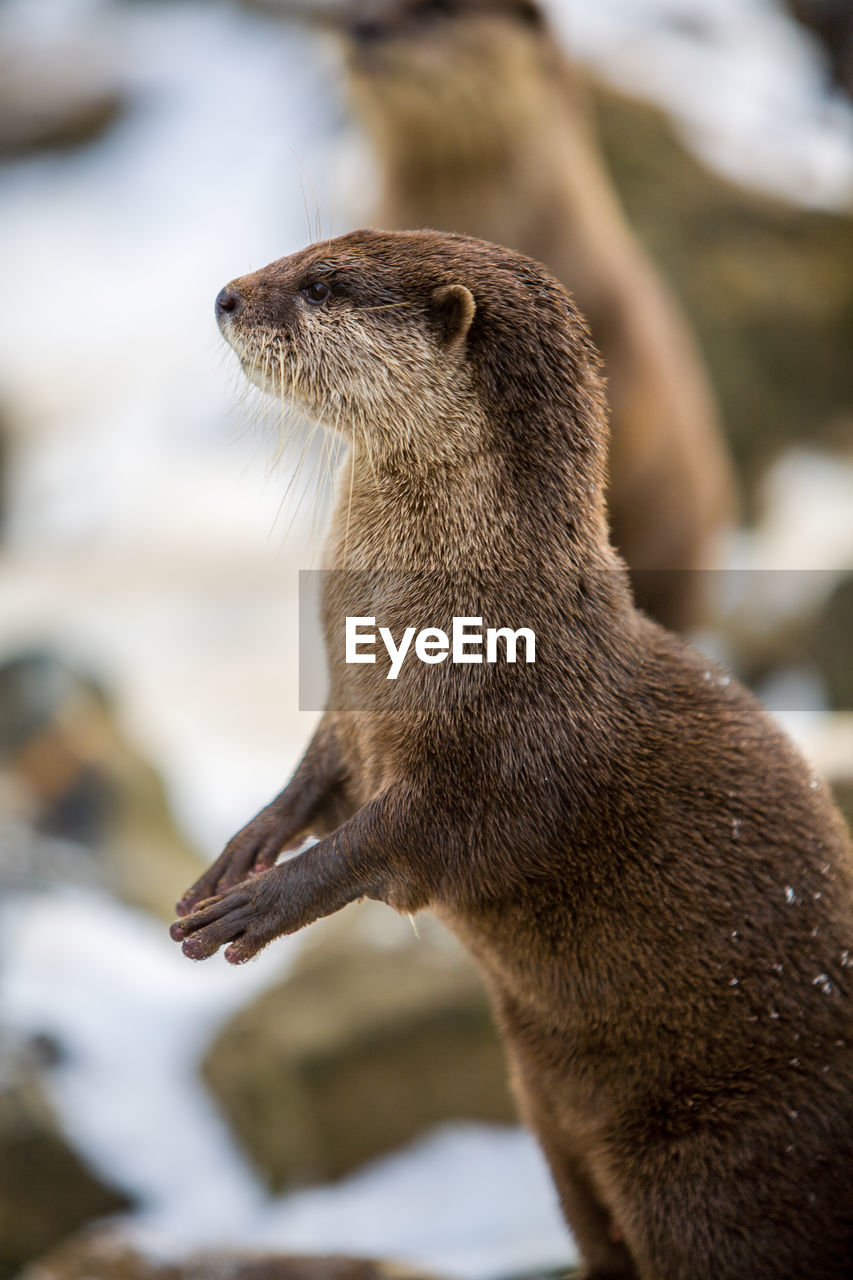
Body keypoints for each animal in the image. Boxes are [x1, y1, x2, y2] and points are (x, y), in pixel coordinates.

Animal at [171, 232, 850, 1280]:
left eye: (320, 283)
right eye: (307, 249)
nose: (226, 296)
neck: (460, 610)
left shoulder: (508, 754)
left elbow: (409, 844)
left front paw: (265, 902)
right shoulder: (350, 715)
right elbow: (321, 780)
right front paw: (244, 852)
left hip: (720, 1168)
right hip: (550, 1128)